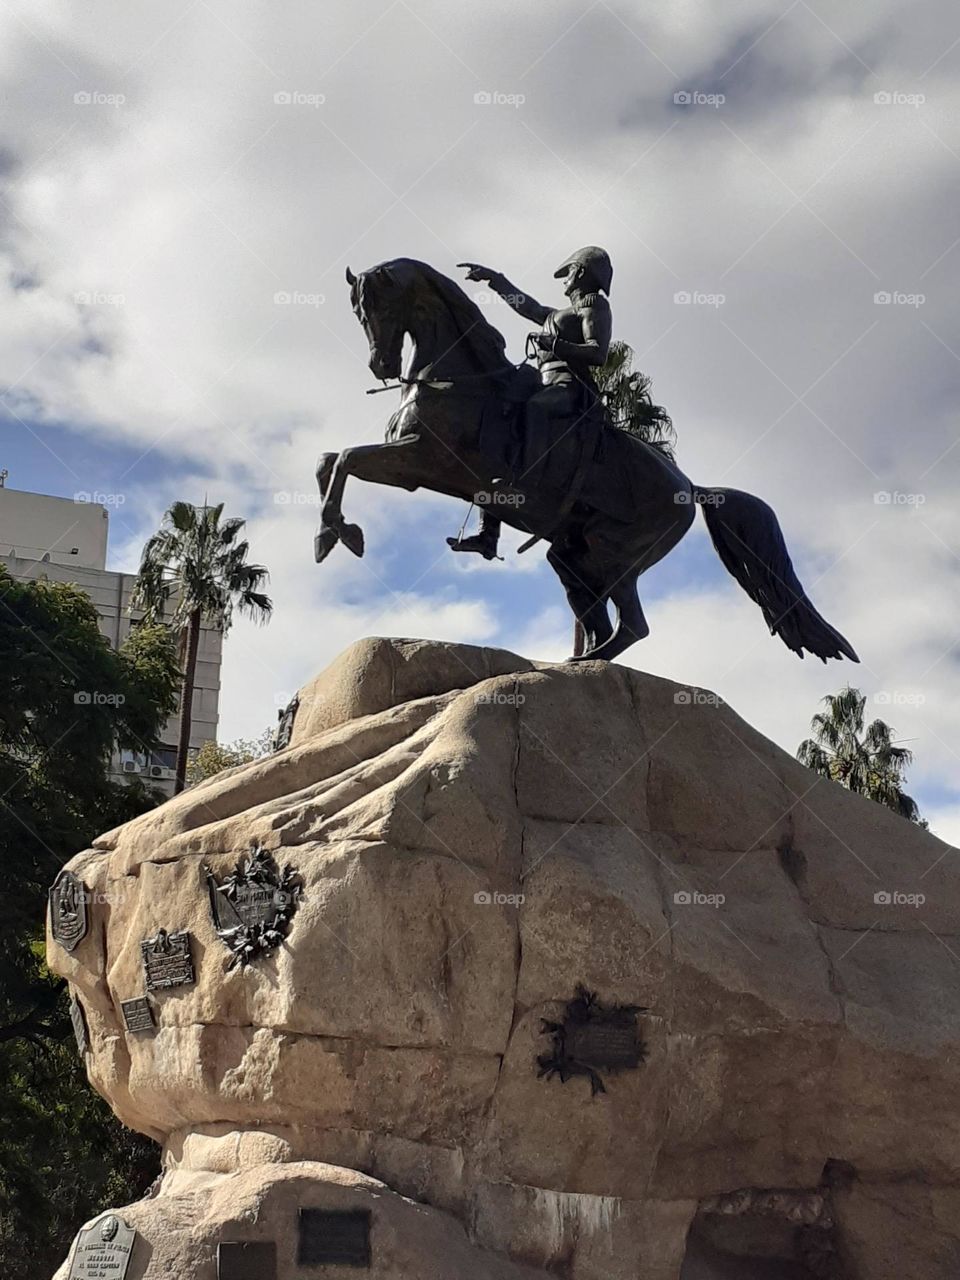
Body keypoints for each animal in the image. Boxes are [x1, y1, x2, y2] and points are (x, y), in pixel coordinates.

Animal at [313, 256, 855, 665]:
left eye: (379, 307)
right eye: (358, 312)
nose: (380, 367)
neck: (458, 378)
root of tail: (692, 488)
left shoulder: (417, 461)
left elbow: (345, 460)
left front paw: (335, 535)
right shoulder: (411, 461)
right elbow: (327, 460)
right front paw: (331, 531)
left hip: (613, 554)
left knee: (633, 625)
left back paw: (587, 662)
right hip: (577, 553)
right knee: (591, 606)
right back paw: (577, 658)